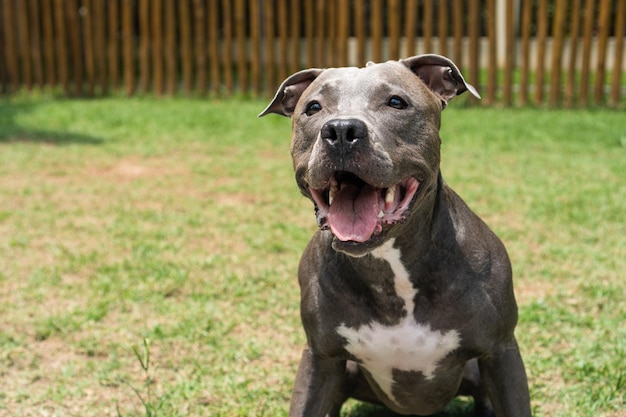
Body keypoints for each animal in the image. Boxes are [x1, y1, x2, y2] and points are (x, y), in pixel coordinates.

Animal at [258, 53, 528, 414]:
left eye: (396, 102)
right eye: (313, 108)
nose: (341, 130)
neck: (388, 267)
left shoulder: (500, 352)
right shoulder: (320, 358)